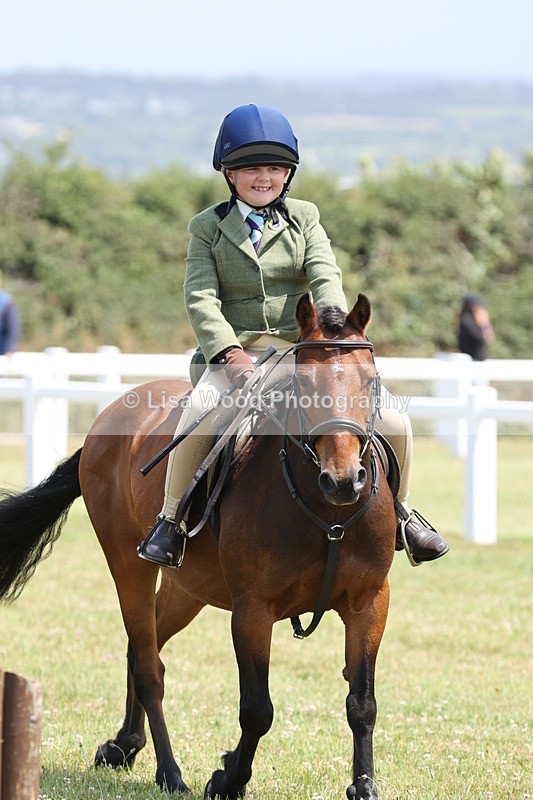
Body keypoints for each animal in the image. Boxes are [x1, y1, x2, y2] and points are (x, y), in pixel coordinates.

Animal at [0, 293, 397, 800]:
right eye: (304, 382)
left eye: (370, 379)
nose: (344, 480)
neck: (326, 512)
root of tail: (107, 418)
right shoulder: (252, 611)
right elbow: (257, 710)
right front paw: (228, 778)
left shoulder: (370, 603)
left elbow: (361, 703)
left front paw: (363, 785)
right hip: (128, 565)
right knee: (149, 667)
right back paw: (170, 772)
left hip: (189, 589)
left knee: (143, 646)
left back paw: (125, 745)